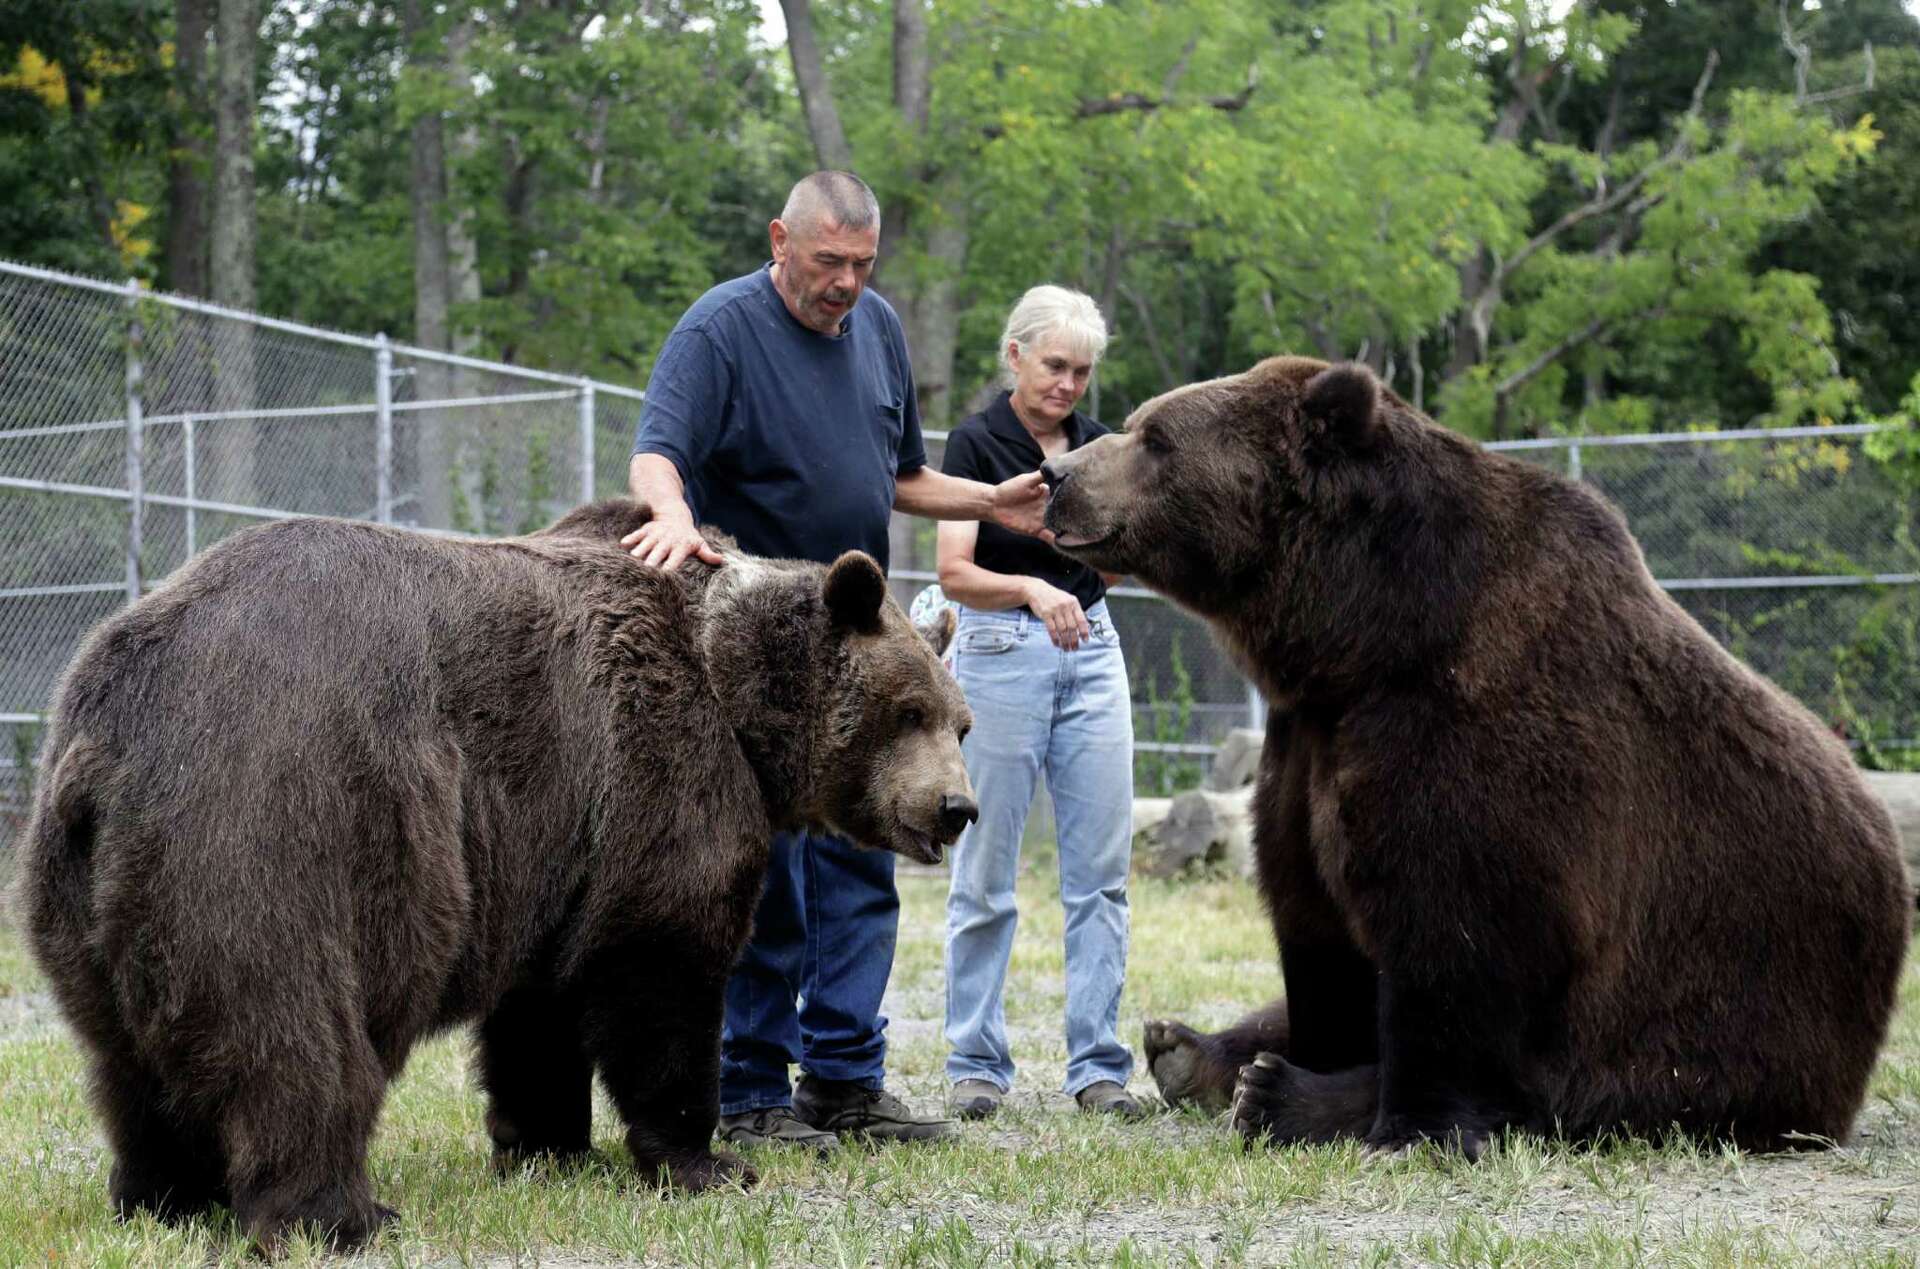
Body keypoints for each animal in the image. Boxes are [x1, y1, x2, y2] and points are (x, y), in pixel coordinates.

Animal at [12, 497, 977, 1252]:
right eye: (908, 710)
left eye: (959, 721)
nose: (955, 807)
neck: (735, 688)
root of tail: (112, 727)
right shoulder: (659, 770)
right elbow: (662, 967)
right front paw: (707, 1160)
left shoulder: (558, 840)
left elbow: (540, 1005)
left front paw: (545, 1143)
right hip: (280, 817)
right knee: (295, 1034)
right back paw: (341, 1214)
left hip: (89, 884)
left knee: (127, 1054)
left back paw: (164, 1197)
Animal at [1040, 356, 1912, 1157]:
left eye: (1156, 437)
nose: (1056, 474)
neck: (1362, 639)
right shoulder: (1309, 742)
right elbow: (1314, 923)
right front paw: (1288, 1058)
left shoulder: (1479, 739)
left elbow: (1459, 943)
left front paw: (1392, 1118)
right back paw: (1189, 1049)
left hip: (1734, 1007)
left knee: (1591, 1084)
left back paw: (1274, 1090)